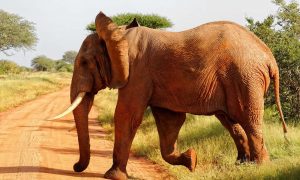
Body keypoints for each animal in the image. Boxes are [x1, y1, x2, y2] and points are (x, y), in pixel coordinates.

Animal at [50, 11, 288, 180]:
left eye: (84, 62)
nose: (75, 167)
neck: (118, 34)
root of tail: (269, 57)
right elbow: (169, 121)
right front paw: (191, 160)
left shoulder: (138, 72)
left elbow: (127, 115)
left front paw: (112, 176)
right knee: (231, 122)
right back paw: (242, 165)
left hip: (245, 77)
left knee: (249, 120)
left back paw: (259, 168)